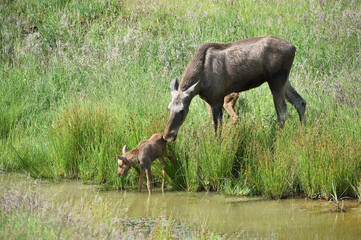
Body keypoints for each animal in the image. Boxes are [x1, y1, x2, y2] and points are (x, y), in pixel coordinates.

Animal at [165, 36, 306, 142]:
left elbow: (218, 129)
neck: (200, 83)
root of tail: (293, 47)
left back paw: (276, 140)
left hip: (276, 80)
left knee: (282, 112)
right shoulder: (209, 101)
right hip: (283, 80)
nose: (167, 136)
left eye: (182, 111)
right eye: (168, 108)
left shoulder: (217, 100)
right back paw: (303, 132)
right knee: (300, 102)